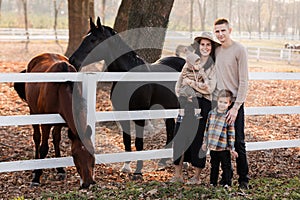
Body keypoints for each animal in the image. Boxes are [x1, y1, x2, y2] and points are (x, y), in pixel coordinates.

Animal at [14, 52, 95, 189]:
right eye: (75, 155)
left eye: (92, 153)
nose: (88, 183)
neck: (62, 87)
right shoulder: (46, 124)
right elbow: (44, 148)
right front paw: (36, 177)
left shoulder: (61, 121)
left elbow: (57, 139)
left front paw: (60, 169)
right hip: (33, 111)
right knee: (36, 137)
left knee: (55, 138)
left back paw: (59, 169)